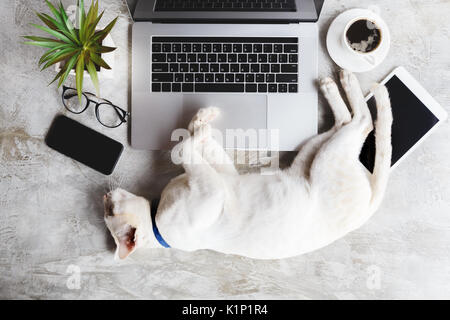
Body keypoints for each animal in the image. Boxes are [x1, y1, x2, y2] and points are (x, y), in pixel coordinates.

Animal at [104, 70, 390, 260]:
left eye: (109, 210)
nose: (105, 195)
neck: (156, 217)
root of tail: (370, 205)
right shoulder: (213, 187)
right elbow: (181, 149)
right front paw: (200, 128)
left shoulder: (221, 176)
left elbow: (191, 139)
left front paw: (202, 120)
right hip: (323, 156)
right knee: (361, 122)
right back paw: (341, 81)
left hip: (316, 150)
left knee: (353, 121)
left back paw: (335, 82)